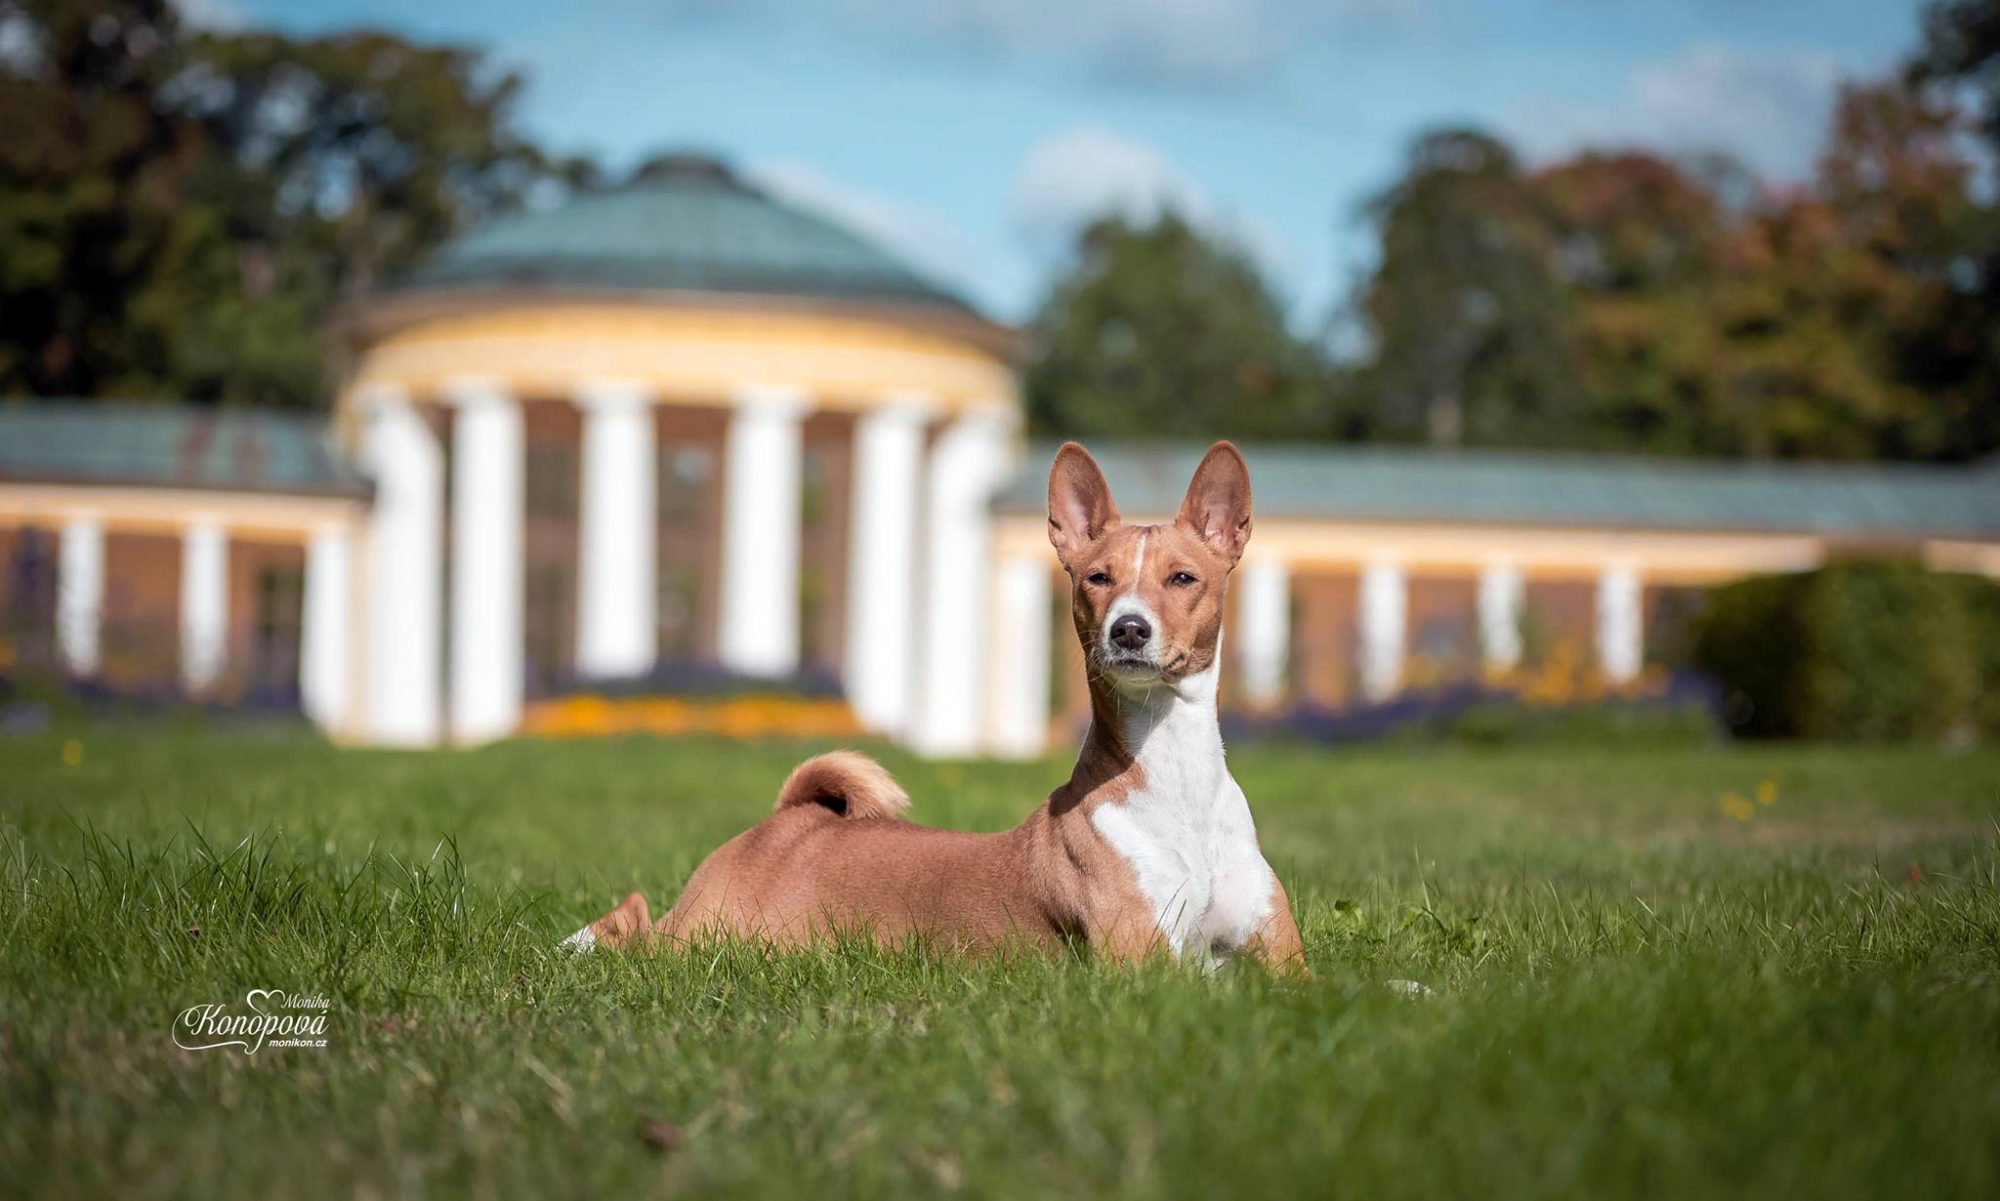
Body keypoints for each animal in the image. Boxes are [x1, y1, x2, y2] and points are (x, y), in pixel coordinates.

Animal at [568, 440, 1312, 976]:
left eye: (1183, 578)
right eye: (1096, 578)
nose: (1127, 629)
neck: (1178, 783)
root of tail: (789, 821)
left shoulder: (1285, 969)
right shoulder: (1141, 962)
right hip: (701, 934)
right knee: (632, 922)